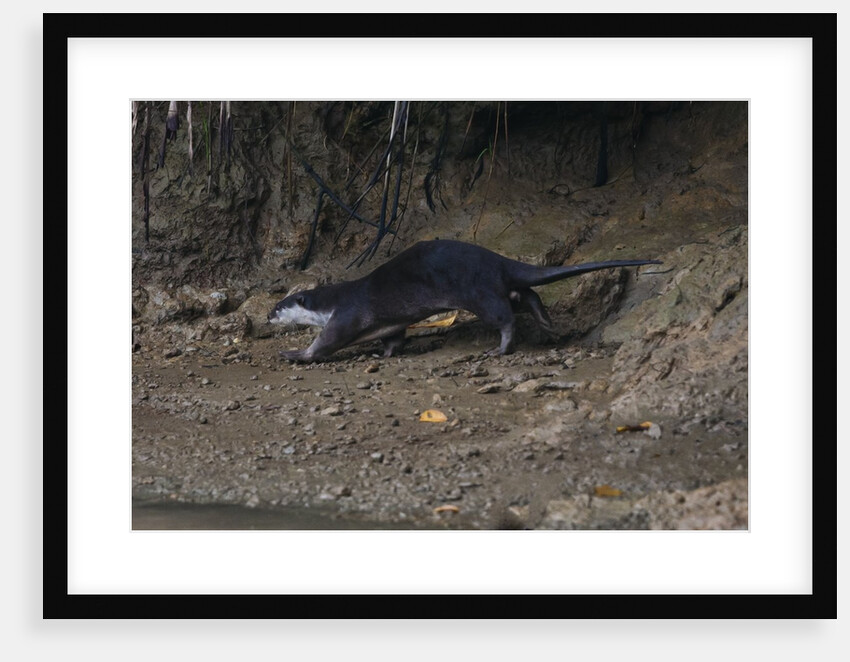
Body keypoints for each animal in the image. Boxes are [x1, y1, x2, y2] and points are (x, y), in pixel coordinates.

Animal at [268, 239, 661, 362]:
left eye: (277, 307)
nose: (268, 316)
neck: (333, 299)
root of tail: (498, 260)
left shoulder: (346, 314)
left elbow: (326, 343)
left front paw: (296, 353)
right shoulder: (389, 321)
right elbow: (394, 338)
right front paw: (385, 354)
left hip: (478, 291)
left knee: (505, 317)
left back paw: (500, 348)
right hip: (496, 285)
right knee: (526, 295)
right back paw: (546, 323)